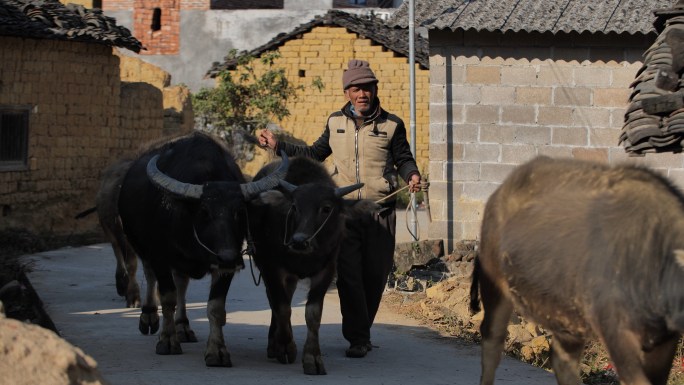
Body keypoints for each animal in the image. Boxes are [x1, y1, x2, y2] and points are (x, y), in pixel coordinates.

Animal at [118, 132, 288, 366]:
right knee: (150, 275)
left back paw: (183, 327)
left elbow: (215, 308)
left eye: (238, 212)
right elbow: (167, 298)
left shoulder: (225, 267)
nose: (228, 257)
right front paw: (167, 341)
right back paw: (149, 316)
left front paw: (217, 351)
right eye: (205, 212)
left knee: (182, 283)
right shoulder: (160, 256)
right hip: (141, 246)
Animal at [246, 155, 374, 372]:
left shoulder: (327, 270)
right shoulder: (272, 268)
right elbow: (282, 308)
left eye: (326, 208)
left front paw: (312, 358)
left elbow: (313, 314)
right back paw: (274, 345)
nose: (299, 241)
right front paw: (286, 348)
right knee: (276, 302)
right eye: (294, 207)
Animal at [470, 155, 684, 384]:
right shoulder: (617, 335)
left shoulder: (665, 341)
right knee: (492, 341)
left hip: (567, 316)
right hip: (495, 285)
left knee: (561, 361)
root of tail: (499, 192)